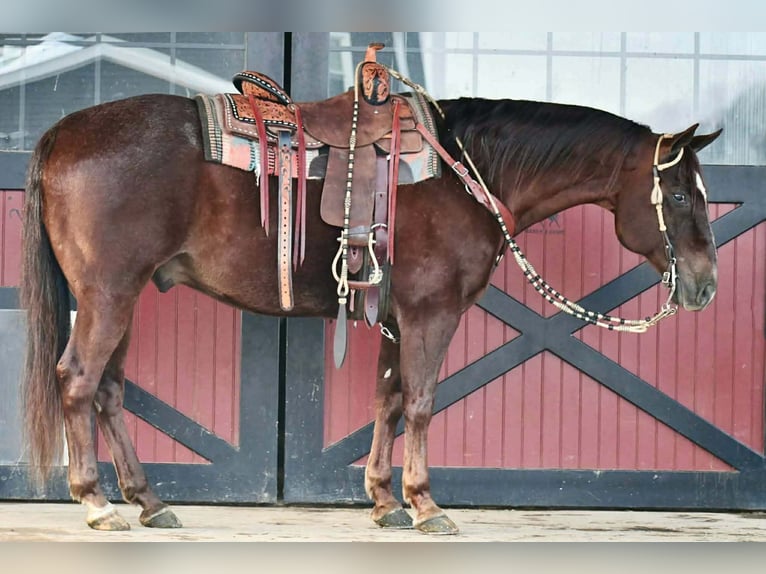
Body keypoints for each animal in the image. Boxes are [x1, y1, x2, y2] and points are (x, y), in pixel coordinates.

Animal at [20, 88, 721, 535]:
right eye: (680, 195)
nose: (707, 286)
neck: (466, 171)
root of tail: (62, 133)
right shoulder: (433, 312)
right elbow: (421, 402)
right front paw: (427, 506)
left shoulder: (396, 317)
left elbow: (388, 398)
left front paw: (385, 503)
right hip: (109, 293)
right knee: (78, 382)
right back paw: (97, 504)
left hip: (124, 295)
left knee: (109, 391)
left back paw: (148, 501)